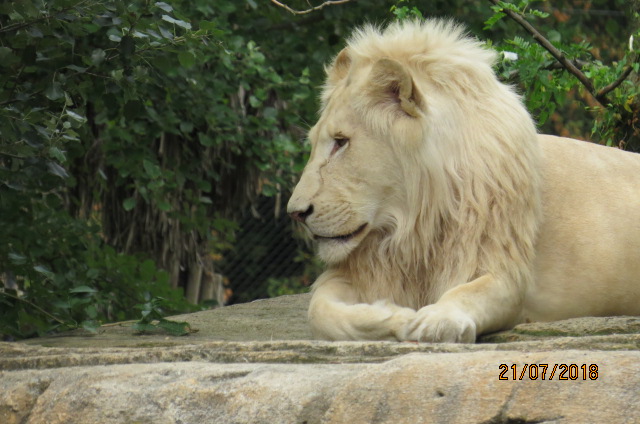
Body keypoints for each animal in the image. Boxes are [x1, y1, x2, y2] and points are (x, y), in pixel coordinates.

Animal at [286, 19, 640, 343]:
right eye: (316, 142)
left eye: (341, 142)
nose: (295, 213)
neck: (413, 223)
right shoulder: (366, 267)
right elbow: (319, 310)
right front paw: (396, 315)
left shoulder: (505, 270)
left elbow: (468, 293)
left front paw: (436, 320)